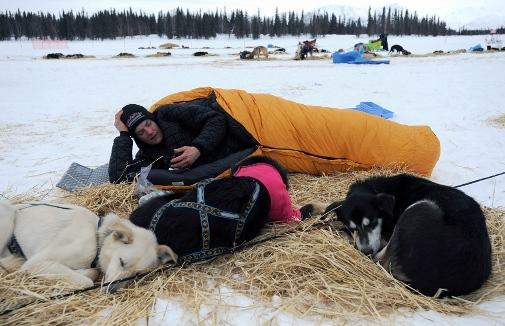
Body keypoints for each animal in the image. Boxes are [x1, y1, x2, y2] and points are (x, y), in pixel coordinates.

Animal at [0, 200, 177, 290]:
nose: (112, 290)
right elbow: (86, 280)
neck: (97, 237)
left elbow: (91, 272)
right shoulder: (36, 263)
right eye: (121, 262)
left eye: (137, 275)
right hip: (7, 216)